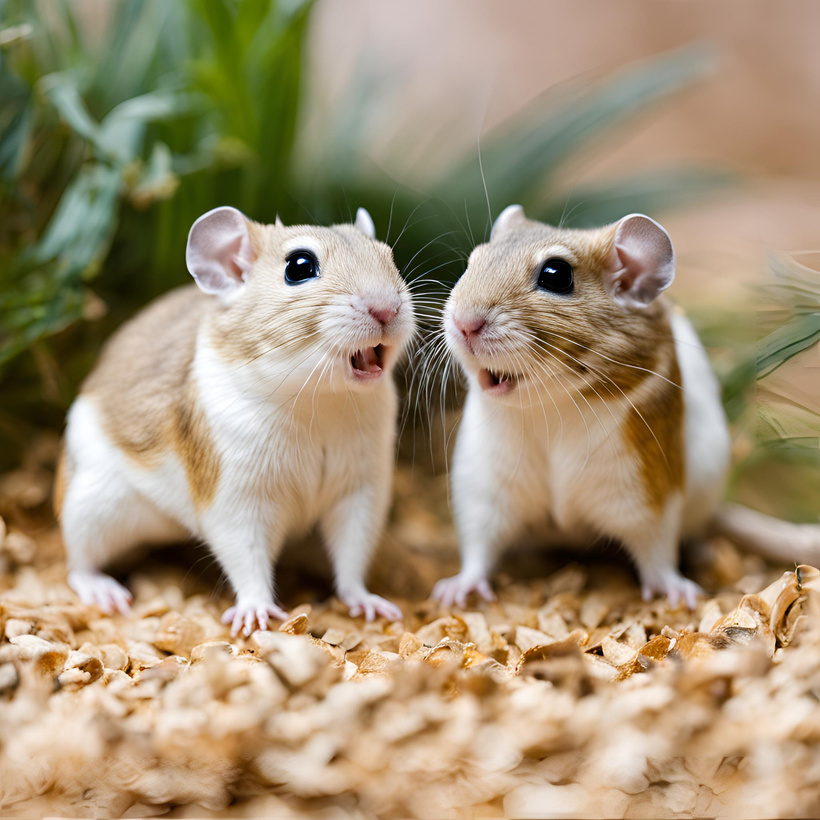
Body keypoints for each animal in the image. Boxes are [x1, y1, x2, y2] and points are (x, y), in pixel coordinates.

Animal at [56, 207, 416, 636]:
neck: (321, 400)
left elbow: (352, 556)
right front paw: (255, 615)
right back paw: (104, 592)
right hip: (91, 507)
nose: (387, 309)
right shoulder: (237, 498)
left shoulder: (361, 490)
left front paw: (369, 604)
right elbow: (248, 559)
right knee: (78, 563)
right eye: (299, 267)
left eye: (388, 255)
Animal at [432, 205, 732, 608]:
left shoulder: (647, 492)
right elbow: (479, 548)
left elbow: (656, 552)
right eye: (473, 260)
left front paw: (680, 595)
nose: (463, 323)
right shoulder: (484, 490)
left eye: (556, 275)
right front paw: (452, 592)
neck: (552, 406)